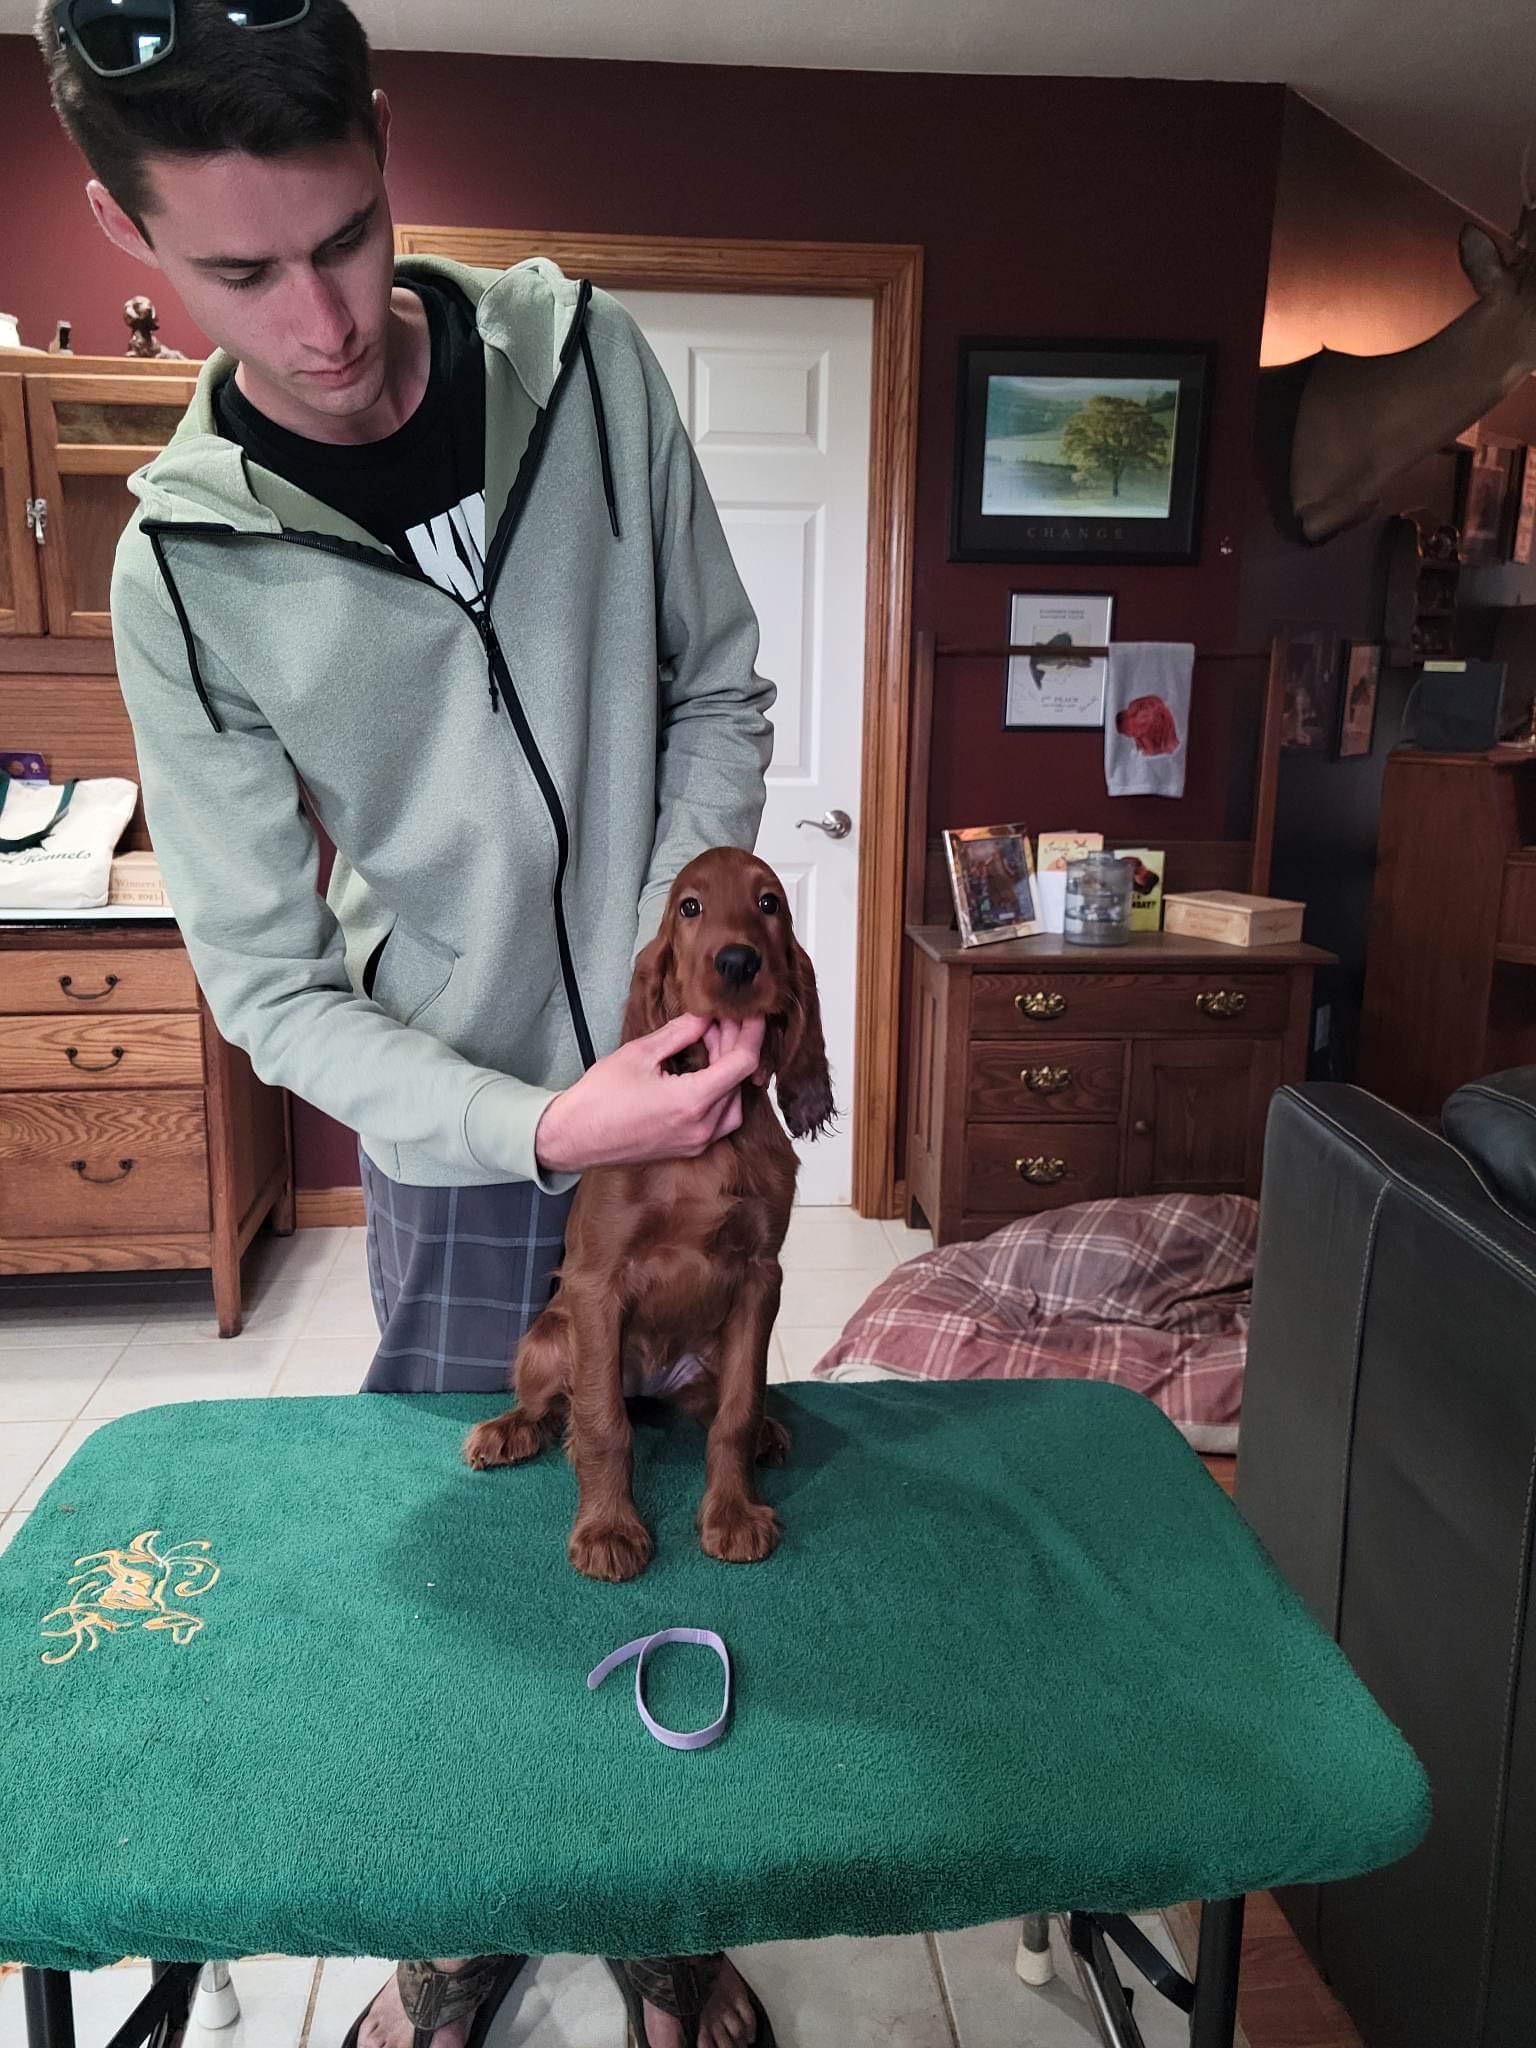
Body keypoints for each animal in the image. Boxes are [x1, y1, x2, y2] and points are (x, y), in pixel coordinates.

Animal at [462, 846, 834, 1581]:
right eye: (690, 906)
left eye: (770, 903)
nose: (738, 961)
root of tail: (651, 1383)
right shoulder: (597, 1284)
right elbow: (604, 1425)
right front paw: (609, 1531)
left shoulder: (760, 1276)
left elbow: (737, 1412)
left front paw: (731, 1516)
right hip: (552, 1339)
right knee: (556, 1406)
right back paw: (507, 1431)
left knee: (717, 1406)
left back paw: (768, 1433)